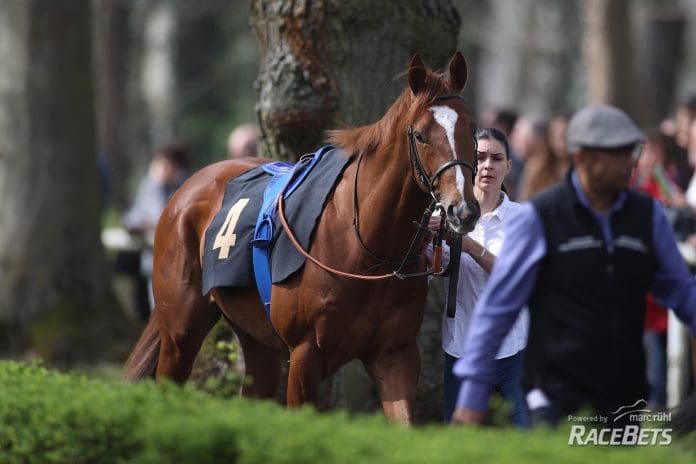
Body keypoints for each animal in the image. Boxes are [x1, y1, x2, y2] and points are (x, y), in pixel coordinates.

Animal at [123, 51, 478, 424]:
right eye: (421, 136)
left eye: (471, 128)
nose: (462, 209)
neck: (366, 250)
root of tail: (184, 191)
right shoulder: (306, 352)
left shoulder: (396, 354)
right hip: (181, 330)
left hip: (258, 342)